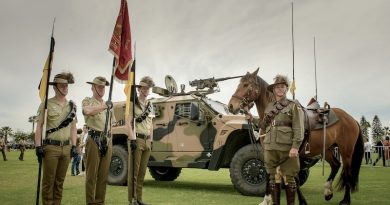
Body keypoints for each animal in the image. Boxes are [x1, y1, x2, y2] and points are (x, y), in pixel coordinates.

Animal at [227, 69, 364, 205]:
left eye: (246, 85)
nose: (231, 106)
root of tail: (351, 119)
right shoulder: (269, 152)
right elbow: (271, 173)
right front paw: (267, 199)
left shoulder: (293, 153)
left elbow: (293, 178)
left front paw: (302, 201)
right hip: (327, 149)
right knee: (336, 165)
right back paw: (327, 192)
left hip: (346, 152)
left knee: (347, 172)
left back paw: (345, 200)